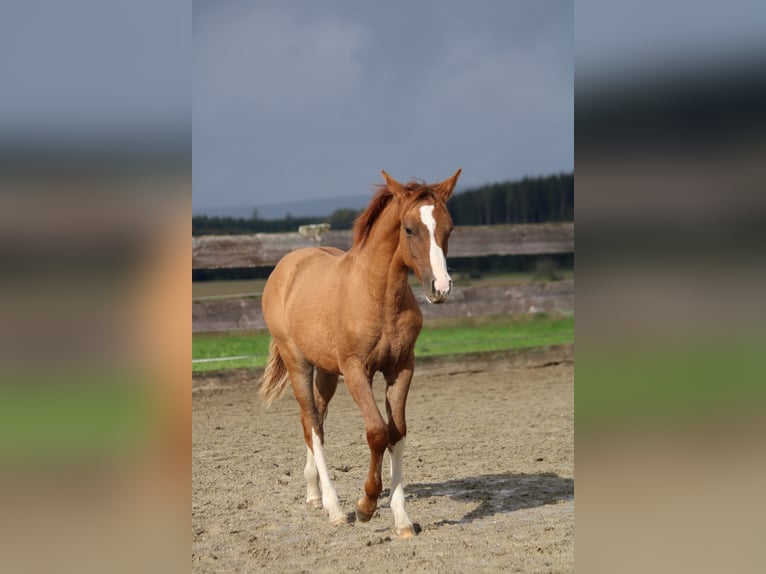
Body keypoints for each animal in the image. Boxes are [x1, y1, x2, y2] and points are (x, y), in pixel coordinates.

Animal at [260, 168, 460, 540]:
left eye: (449, 227)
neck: (378, 296)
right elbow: (377, 432)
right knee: (312, 423)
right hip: (298, 363)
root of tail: (286, 266)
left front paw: (402, 519)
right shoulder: (356, 371)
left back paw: (314, 495)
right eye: (409, 228)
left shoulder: (401, 368)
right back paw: (335, 508)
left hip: (325, 371)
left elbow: (397, 433)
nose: (440, 288)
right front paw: (365, 505)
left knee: (315, 419)